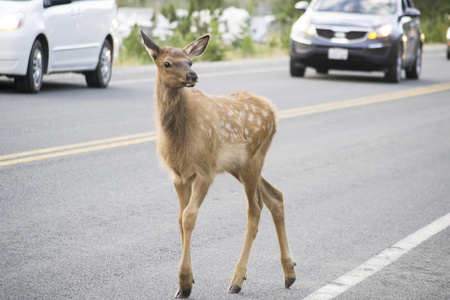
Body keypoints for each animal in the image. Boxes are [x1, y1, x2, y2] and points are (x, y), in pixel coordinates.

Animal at [141, 29, 296, 298]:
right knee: (275, 196)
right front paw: (186, 282)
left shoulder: (205, 169)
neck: (179, 135)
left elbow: (190, 216)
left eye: (190, 62)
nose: (192, 76)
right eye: (167, 63)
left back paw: (237, 280)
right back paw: (289, 274)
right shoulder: (179, 175)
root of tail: (274, 112)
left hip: (253, 160)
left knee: (255, 208)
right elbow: (180, 218)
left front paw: (184, 282)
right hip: (240, 166)